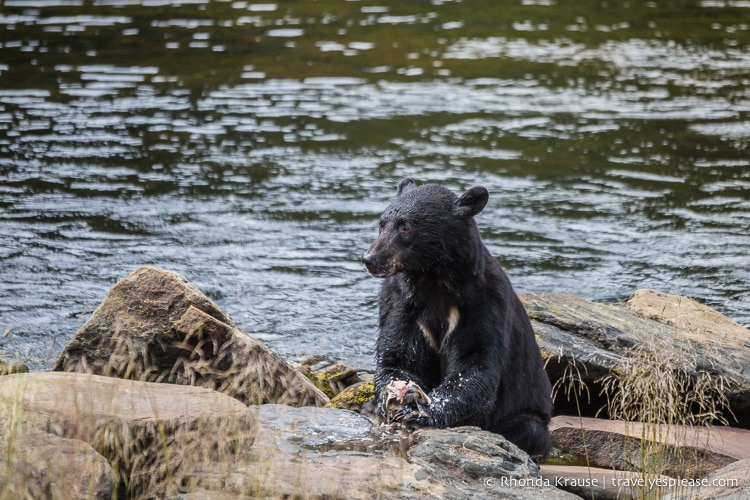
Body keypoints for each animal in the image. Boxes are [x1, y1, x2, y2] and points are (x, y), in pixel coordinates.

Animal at [362, 178, 556, 458]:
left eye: (405, 226)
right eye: (381, 223)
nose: (370, 259)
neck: (433, 279)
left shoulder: (483, 304)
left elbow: (475, 363)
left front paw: (423, 412)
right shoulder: (401, 302)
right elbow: (400, 353)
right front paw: (396, 400)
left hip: (528, 414)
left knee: (528, 428)